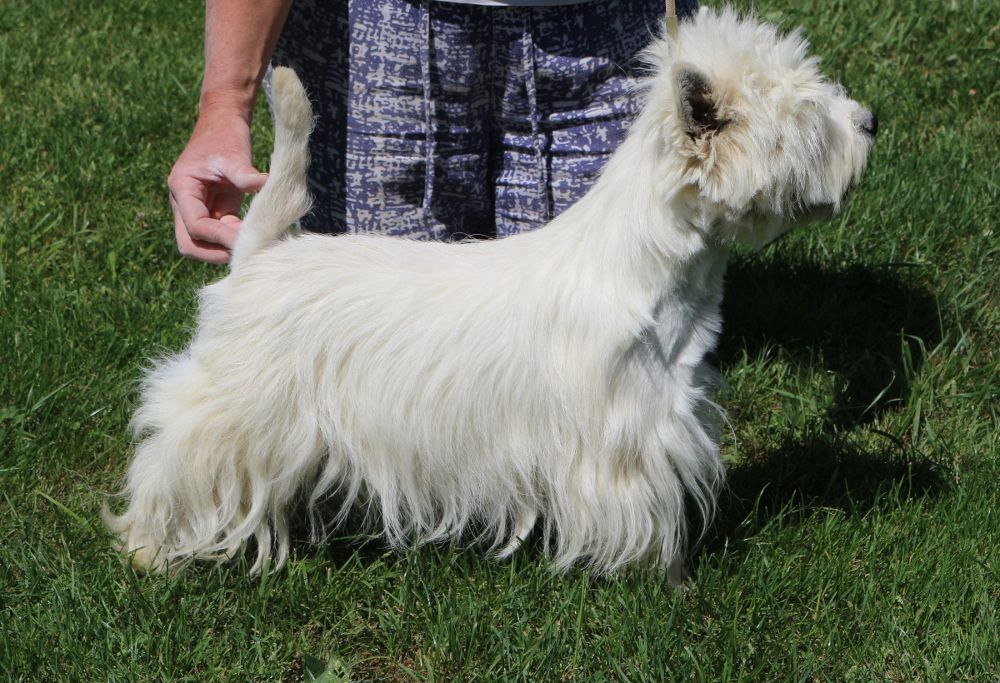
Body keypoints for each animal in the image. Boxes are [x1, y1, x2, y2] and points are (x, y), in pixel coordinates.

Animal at [107, 9, 876, 576]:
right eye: (810, 120)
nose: (870, 120)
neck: (648, 266)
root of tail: (261, 250)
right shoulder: (620, 438)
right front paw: (658, 578)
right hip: (241, 405)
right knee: (172, 459)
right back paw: (148, 550)